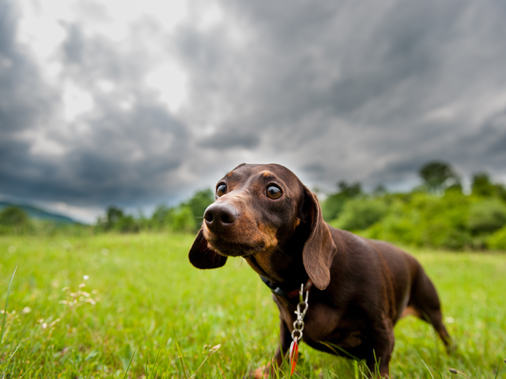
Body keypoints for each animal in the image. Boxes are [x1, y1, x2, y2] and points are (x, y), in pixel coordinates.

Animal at [189, 164, 450, 379]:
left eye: (273, 190)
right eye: (221, 187)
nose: (215, 214)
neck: (306, 283)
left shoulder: (382, 333)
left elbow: (379, 366)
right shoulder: (287, 327)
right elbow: (281, 353)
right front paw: (267, 371)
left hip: (432, 310)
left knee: (445, 335)